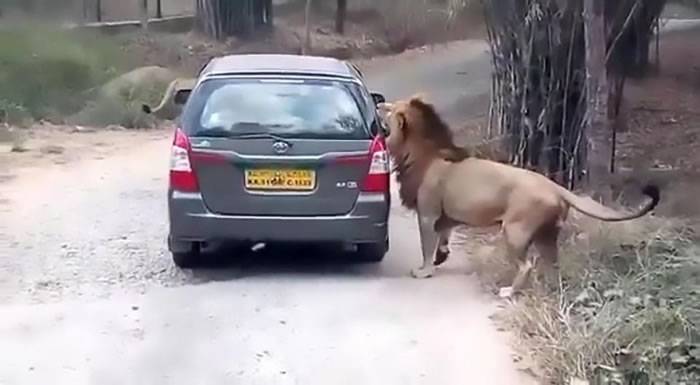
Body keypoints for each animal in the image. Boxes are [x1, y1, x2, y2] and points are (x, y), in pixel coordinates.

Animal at [380, 95, 660, 296]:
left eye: (390, 110)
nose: (380, 103)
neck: (422, 151)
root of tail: (554, 186)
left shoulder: (427, 213)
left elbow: (426, 246)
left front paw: (424, 271)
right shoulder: (445, 215)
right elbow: (443, 238)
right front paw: (442, 256)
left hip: (515, 230)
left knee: (527, 265)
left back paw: (508, 292)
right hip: (547, 235)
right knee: (552, 264)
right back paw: (551, 288)